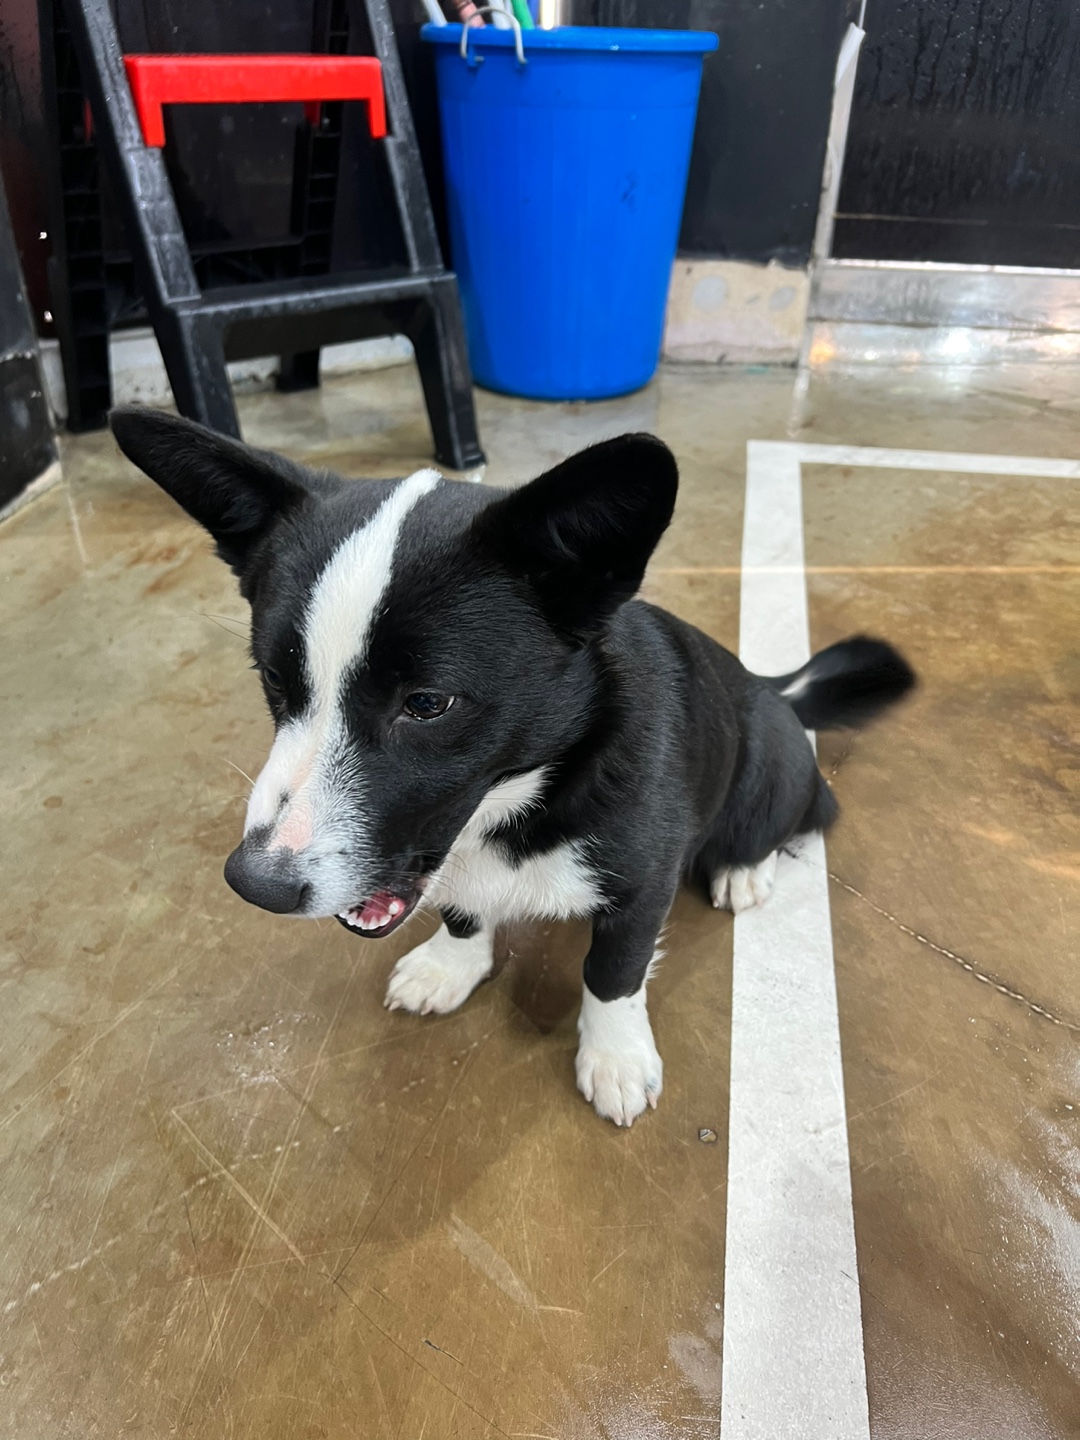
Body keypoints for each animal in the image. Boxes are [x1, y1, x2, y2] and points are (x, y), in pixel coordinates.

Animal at [110, 408, 914, 1126]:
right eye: (274, 680)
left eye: (427, 702)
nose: (255, 886)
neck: (521, 797)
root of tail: (767, 683)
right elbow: (465, 912)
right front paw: (451, 964)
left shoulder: (644, 882)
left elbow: (614, 971)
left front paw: (616, 1057)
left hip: (772, 769)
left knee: (799, 816)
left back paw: (744, 868)